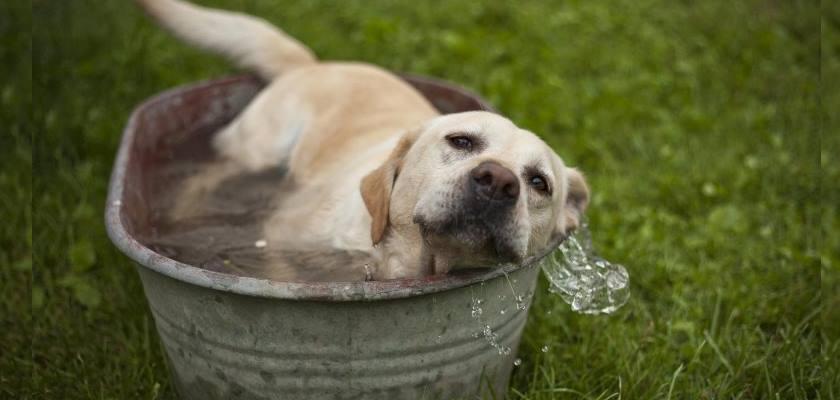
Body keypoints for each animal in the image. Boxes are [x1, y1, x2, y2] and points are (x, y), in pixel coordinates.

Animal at [136, 0, 592, 282]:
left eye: (539, 183)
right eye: (461, 141)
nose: (498, 182)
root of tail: (314, 63)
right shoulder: (279, 237)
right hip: (255, 151)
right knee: (206, 178)